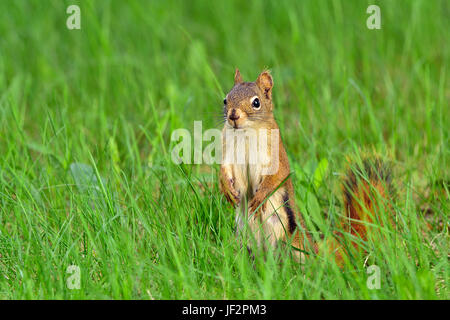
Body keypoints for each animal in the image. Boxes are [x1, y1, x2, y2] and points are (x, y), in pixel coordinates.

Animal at [220, 69, 396, 264]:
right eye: (225, 100)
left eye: (256, 102)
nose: (233, 116)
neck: (246, 133)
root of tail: (314, 250)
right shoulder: (228, 151)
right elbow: (224, 170)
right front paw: (226, 188)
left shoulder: (277, 155)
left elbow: (277, 175)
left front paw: (261, 196)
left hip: (283, 234)